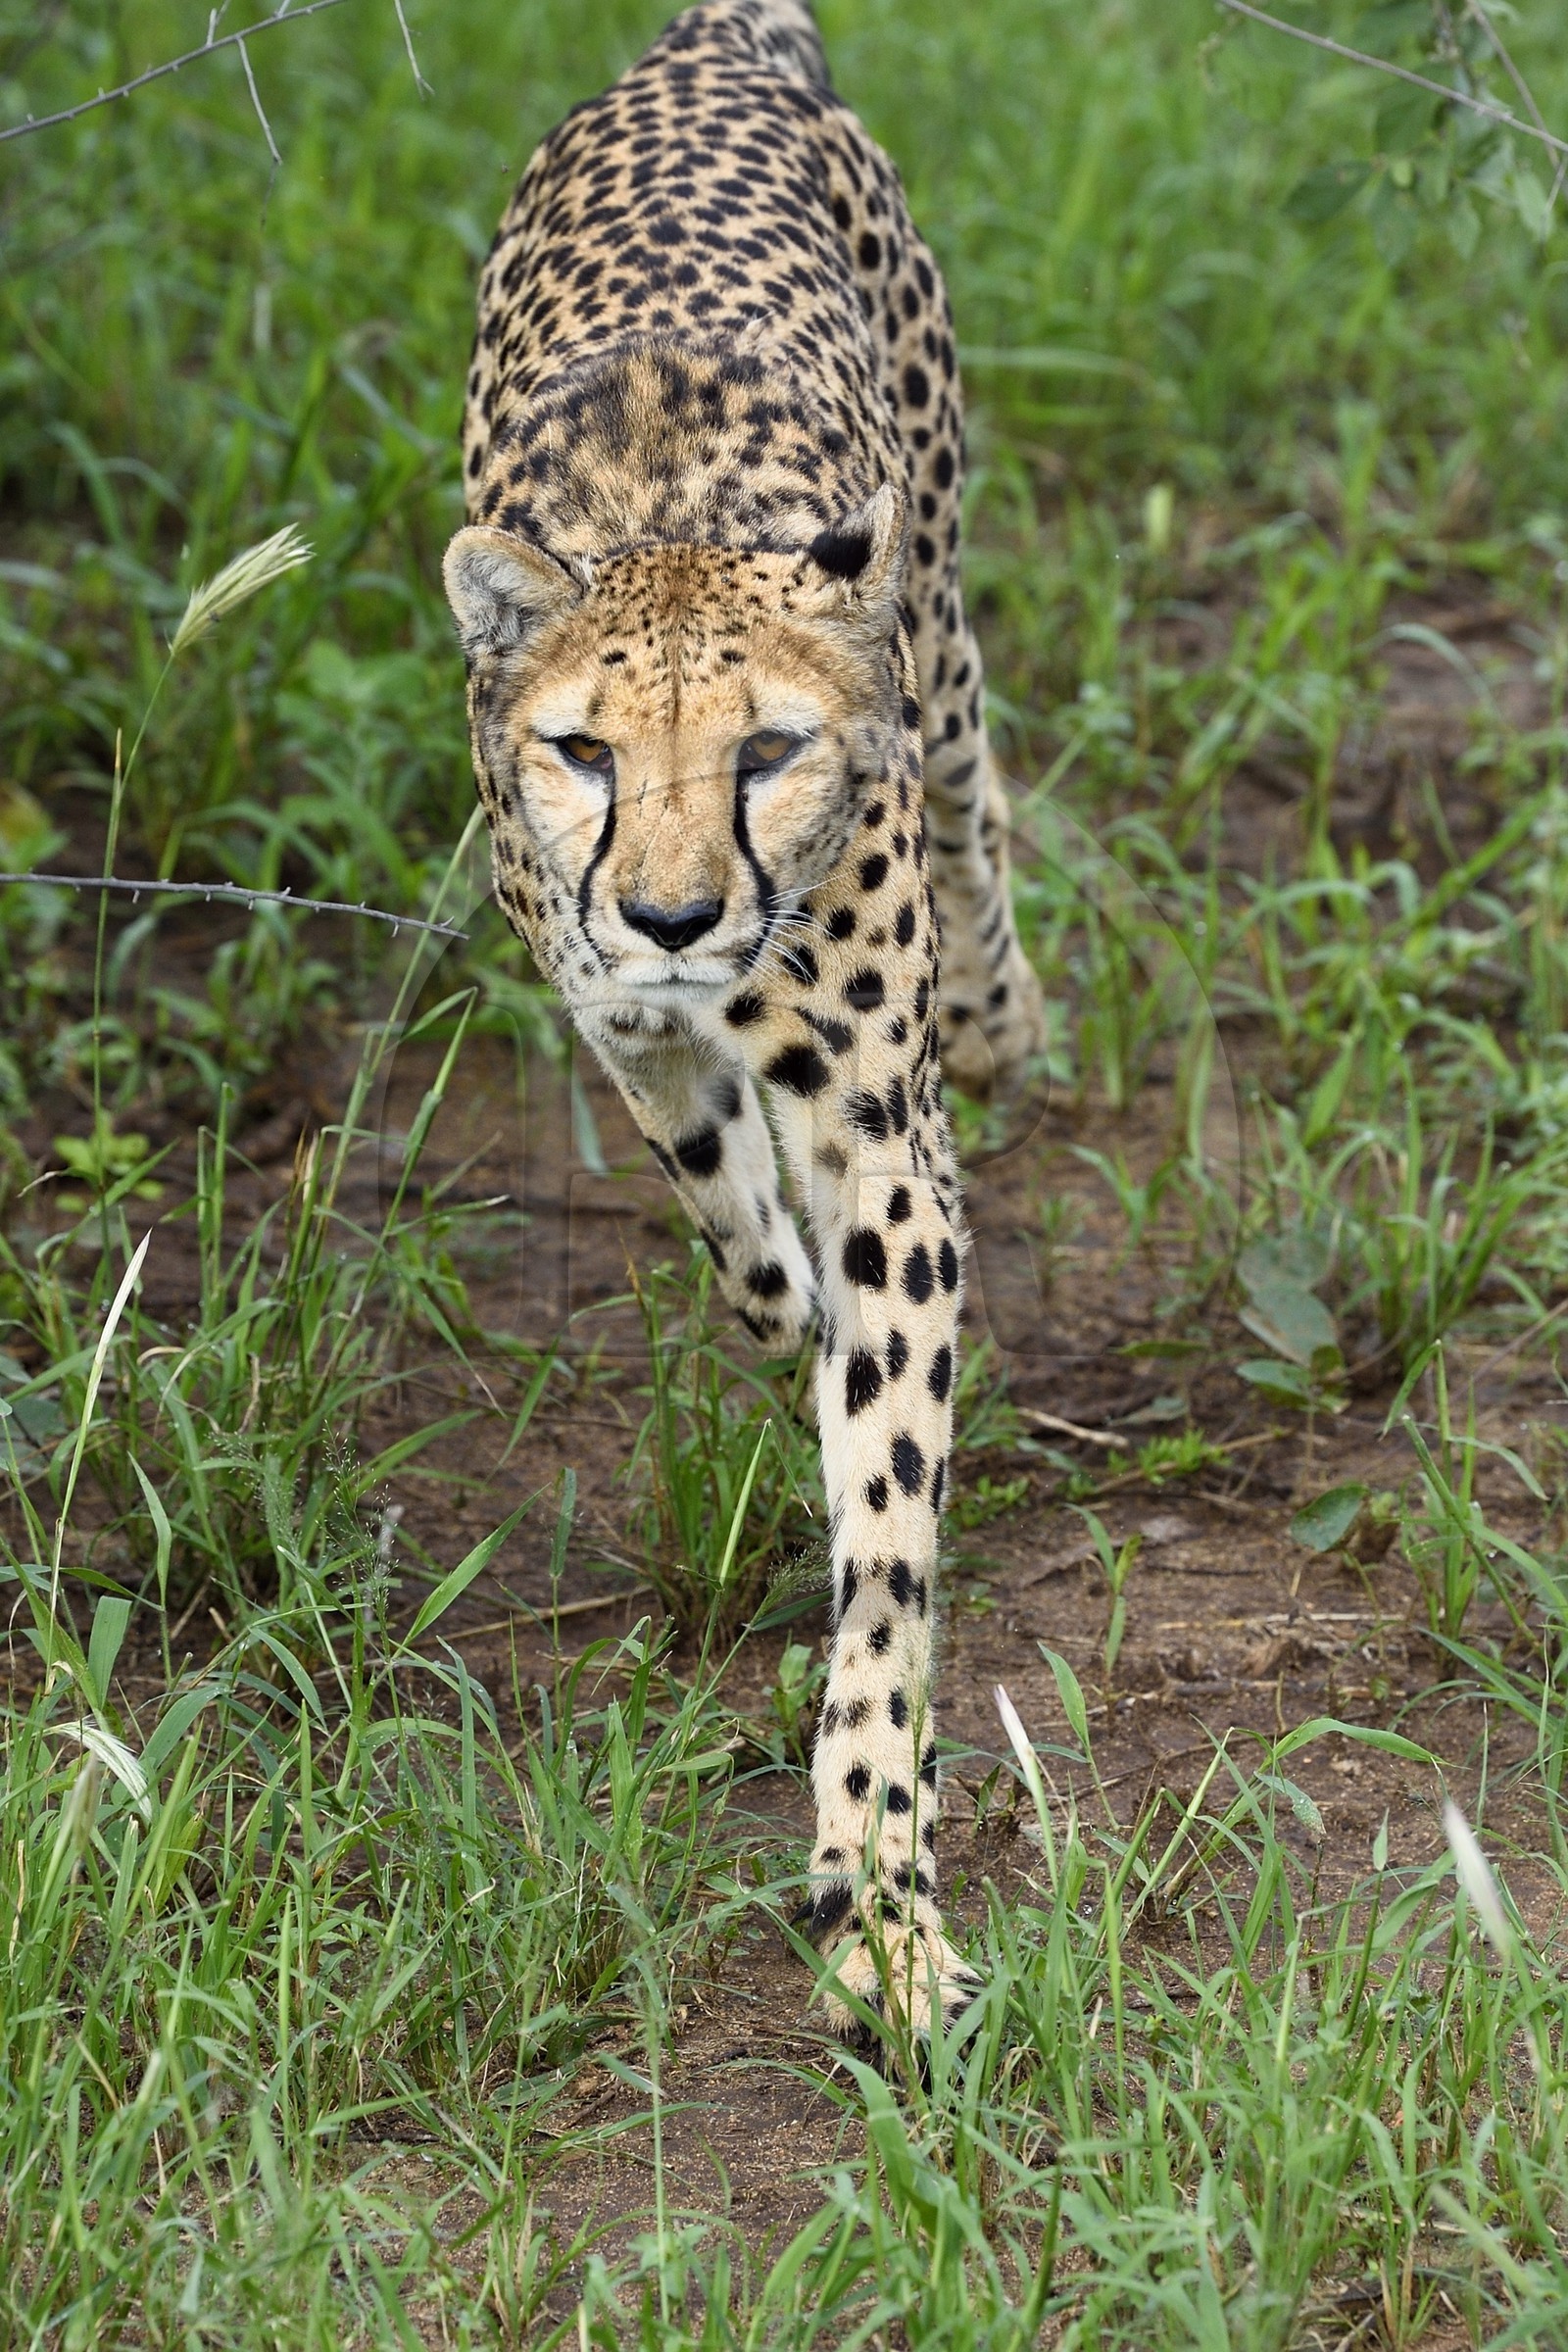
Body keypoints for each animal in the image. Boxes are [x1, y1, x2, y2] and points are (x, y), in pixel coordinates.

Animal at [444, 0, 1046, 2036]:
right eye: (586, 752)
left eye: (769, 750)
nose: (673, 908)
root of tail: (710, 43)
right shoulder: (621, 1025)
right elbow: (727, 1215)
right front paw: (783, 1293)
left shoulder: (883, 1139)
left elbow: (890, 1526)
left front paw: (878, 1880)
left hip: (938, 592)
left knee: (980, 784)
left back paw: (1004, 1004)